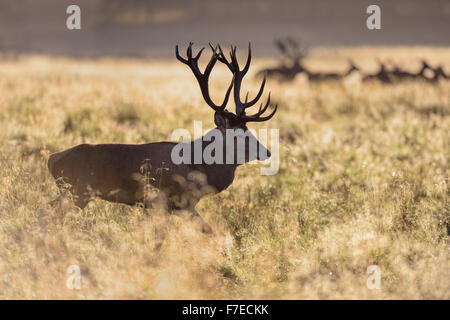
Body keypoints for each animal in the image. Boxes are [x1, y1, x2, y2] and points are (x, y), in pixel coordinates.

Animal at [46, 43, 278, 245]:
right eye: (240, 135)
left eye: (249, 130)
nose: (267, 152)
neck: (198, 166)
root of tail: (52, 159)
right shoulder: (172, 202)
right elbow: (190, 234)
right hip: (76, 191)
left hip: (72, 193)